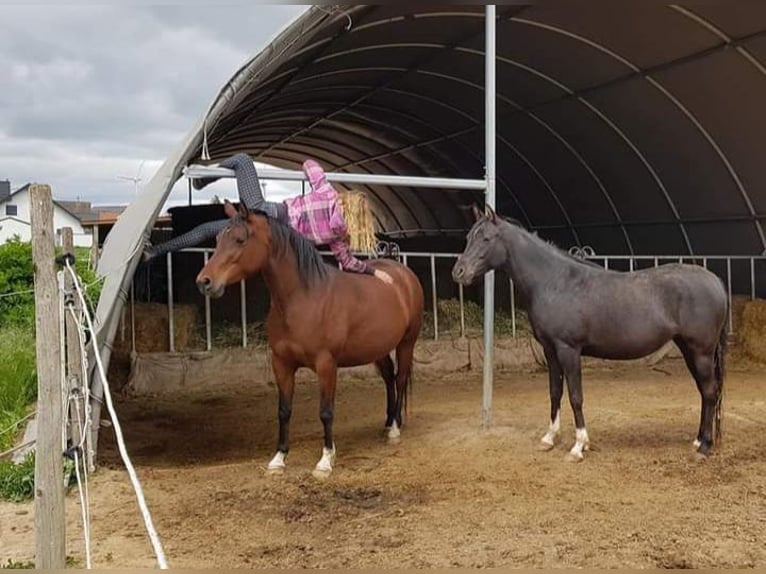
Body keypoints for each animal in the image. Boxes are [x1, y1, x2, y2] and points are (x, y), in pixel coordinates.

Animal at [196, 200, 426, 480]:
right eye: (218, 239)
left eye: (240, 239)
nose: (204, 282)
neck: (304, 299)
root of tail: (403, 273)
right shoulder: (281, 364)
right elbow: (284, 410)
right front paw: (278, 459)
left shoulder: (326, 365)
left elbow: (326, 412)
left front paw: (325, 461)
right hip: (377, 348)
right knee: (389, 377)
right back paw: (388, 422)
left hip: (406, 343)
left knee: (400, 378)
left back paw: (394, 429)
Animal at [452, 207, 728, 464]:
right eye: (467, 237)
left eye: (486, 238)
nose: (459, 272)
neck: (555, 282)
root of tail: (716, 282)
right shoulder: (550, 351)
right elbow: (555, 392)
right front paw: (549, 439)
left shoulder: (569, 350)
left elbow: (576, 396)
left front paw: (578, 447)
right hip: (688, 349)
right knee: (704, 392)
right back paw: (698, 440)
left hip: (701, 351)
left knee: (710, 391)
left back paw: (705, 447)